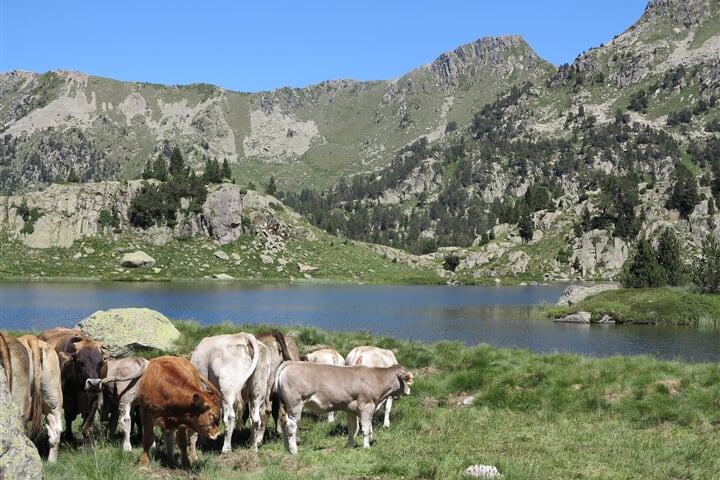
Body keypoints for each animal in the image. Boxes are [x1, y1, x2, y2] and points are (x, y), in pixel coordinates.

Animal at [274, 360, 414, 454]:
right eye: (406, 379)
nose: (409, 391)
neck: (376, 378)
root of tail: (290, 363)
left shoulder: (350, 409)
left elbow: (353, 428)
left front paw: (350, 445)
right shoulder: (367, 406)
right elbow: (365, 429)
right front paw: (366, 446)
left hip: (285, 405)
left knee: (283, 421)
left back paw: (286, 447)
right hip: (295, 404)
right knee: (291, 425)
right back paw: (294, 450)